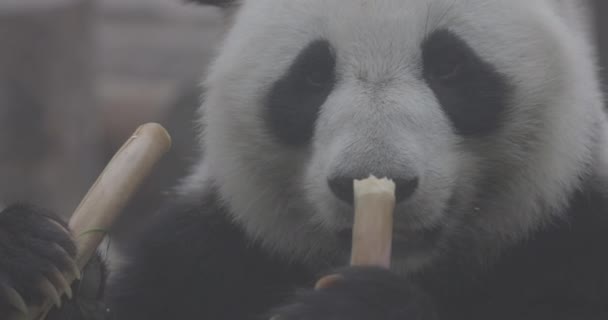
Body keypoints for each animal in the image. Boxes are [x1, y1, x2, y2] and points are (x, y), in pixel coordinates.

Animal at [1, 0, 608, 318]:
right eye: (313, 75)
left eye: (449, 66)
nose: (374, 179)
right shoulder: (210, 255)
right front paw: (31, 254)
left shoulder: (572, 238)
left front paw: (360, 308)